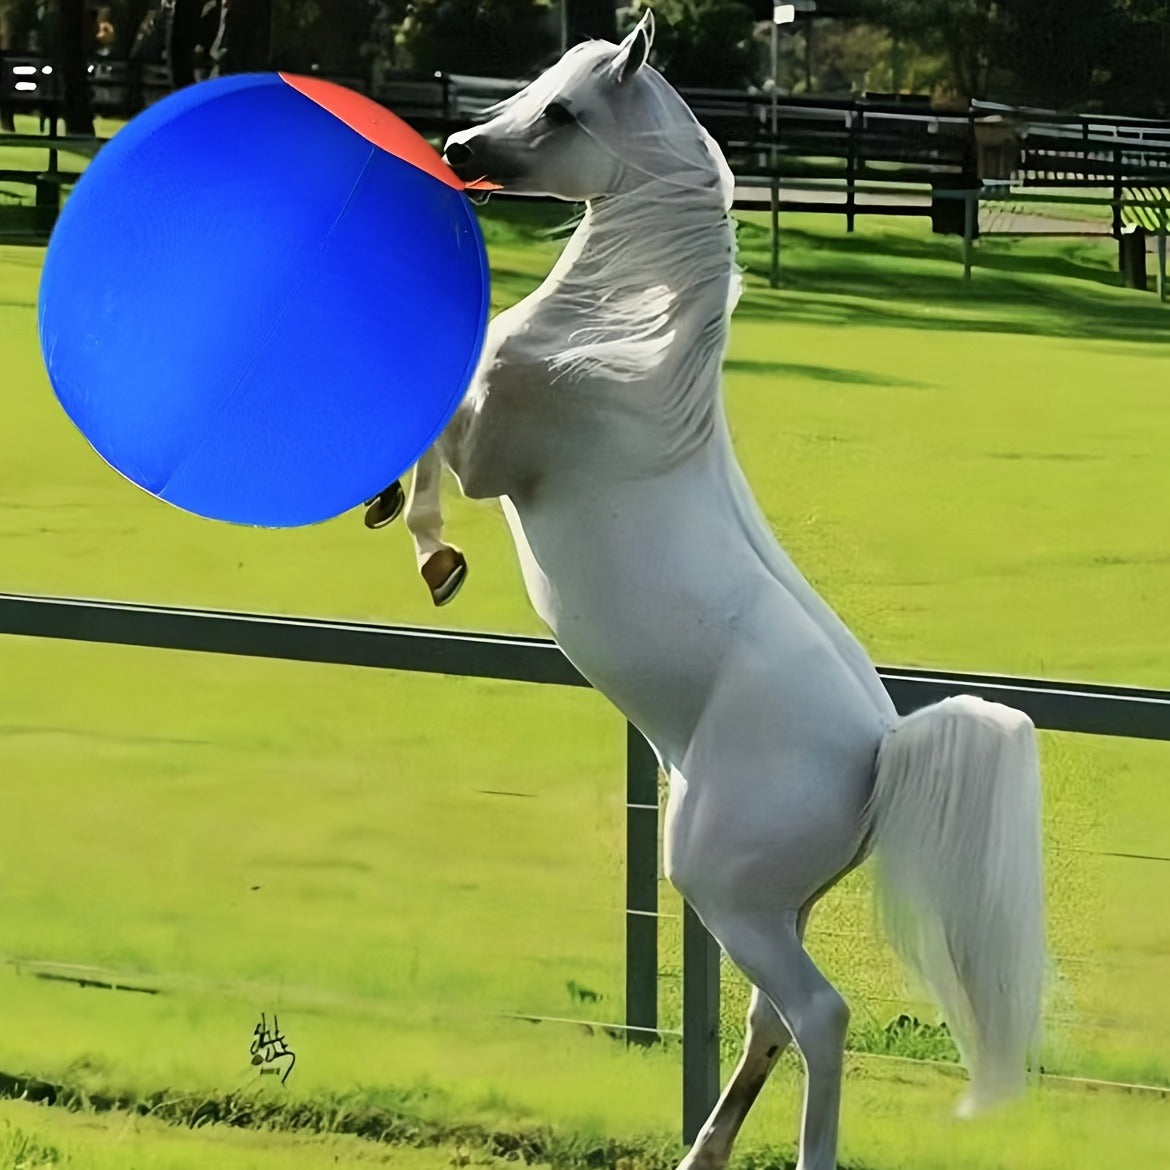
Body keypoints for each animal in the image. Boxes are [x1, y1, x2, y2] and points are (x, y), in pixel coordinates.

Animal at [388, 14, 1046, 1169]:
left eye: (565, 112)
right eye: (532, 87)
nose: (462, 149)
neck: (613, 360)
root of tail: (883, 750)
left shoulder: (486, 461)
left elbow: (436, 424)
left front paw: (433, 557)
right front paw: (393, 514)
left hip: (723, 891)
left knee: (818, 1016)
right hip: (770, 908)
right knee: (768, 1022)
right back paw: (702, 1151)